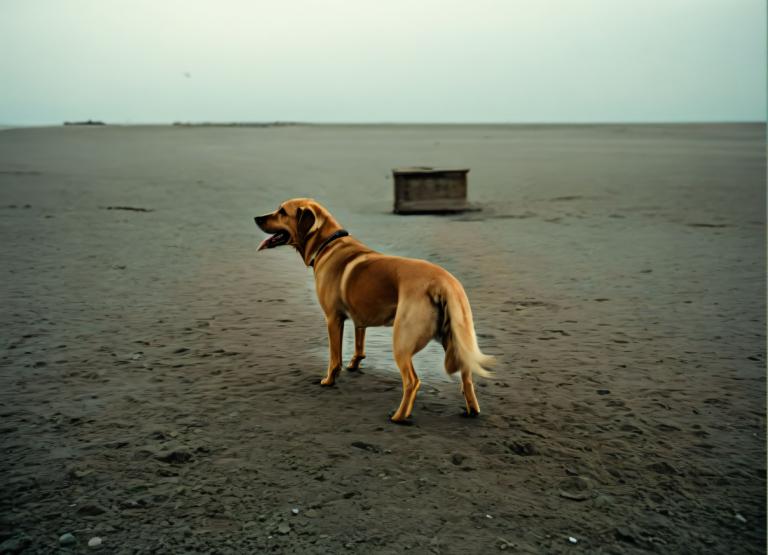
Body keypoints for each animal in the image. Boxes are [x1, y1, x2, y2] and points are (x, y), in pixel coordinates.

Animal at [255, 199, 496, 422]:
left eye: (282, 212)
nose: (257, 218)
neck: (328, 243)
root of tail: (444, 282)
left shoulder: (333, 318)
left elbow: (334, 357)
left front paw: (329, 380)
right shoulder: (359, 316)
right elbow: (359, 344)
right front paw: (354, 364)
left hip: (402, 341)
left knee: (412, 381)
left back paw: (399, 416)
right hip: (453, 337)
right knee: (466, 375)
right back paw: (472, 410)